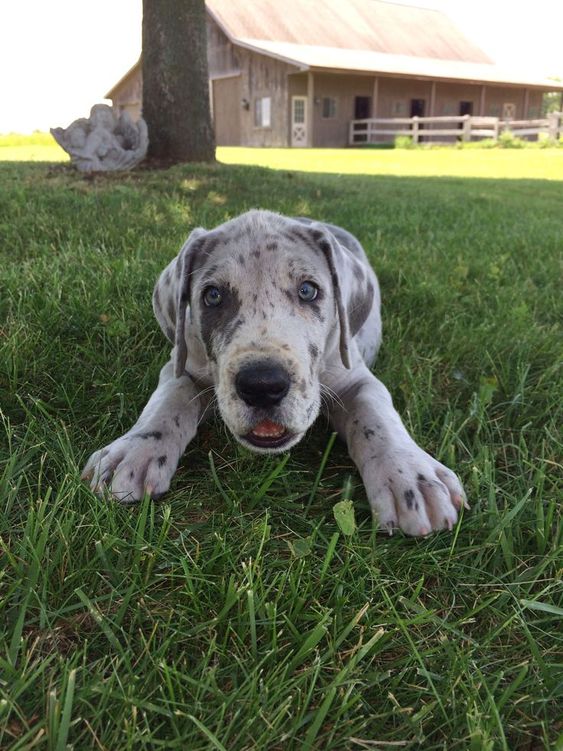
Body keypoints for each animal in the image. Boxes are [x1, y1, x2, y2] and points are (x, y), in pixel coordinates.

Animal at [82, 210, 468, 536]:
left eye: (308, 290)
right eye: (212, 296)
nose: (262, 386)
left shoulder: (356, 378)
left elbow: (377, 417)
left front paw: (409, 476)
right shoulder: (182, 365)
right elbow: (165, 403)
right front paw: (135, 450)